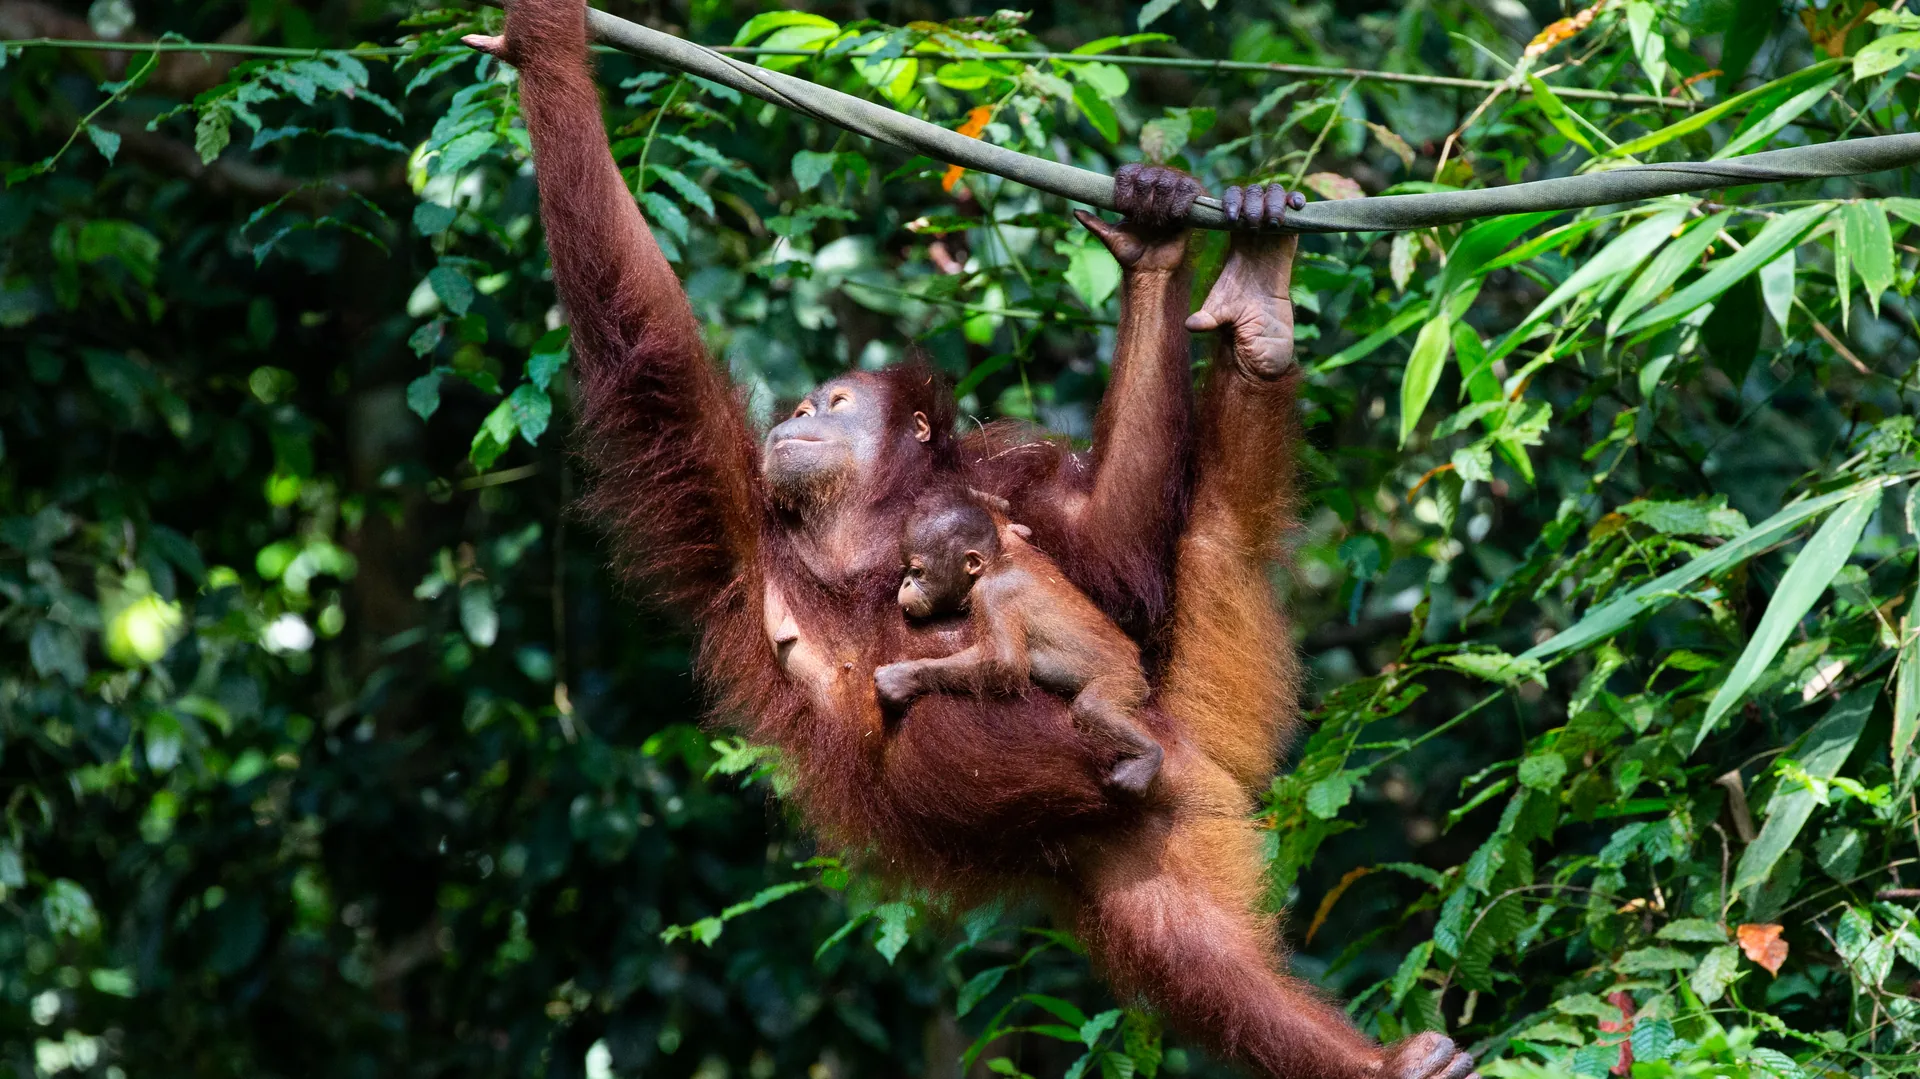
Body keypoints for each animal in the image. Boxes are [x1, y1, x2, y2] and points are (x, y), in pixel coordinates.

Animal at [876, 490, 1165, 796]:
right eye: (907, 571)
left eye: (917, 571)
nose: (905, 583)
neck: (997, 562)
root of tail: (1137, 667)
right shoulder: (1011, 541)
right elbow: (1017, 526)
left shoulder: (993, 594)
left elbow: (1005, 661)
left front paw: (901, 677)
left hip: (1122, 680)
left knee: (1092, 708)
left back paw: (1148, 756)